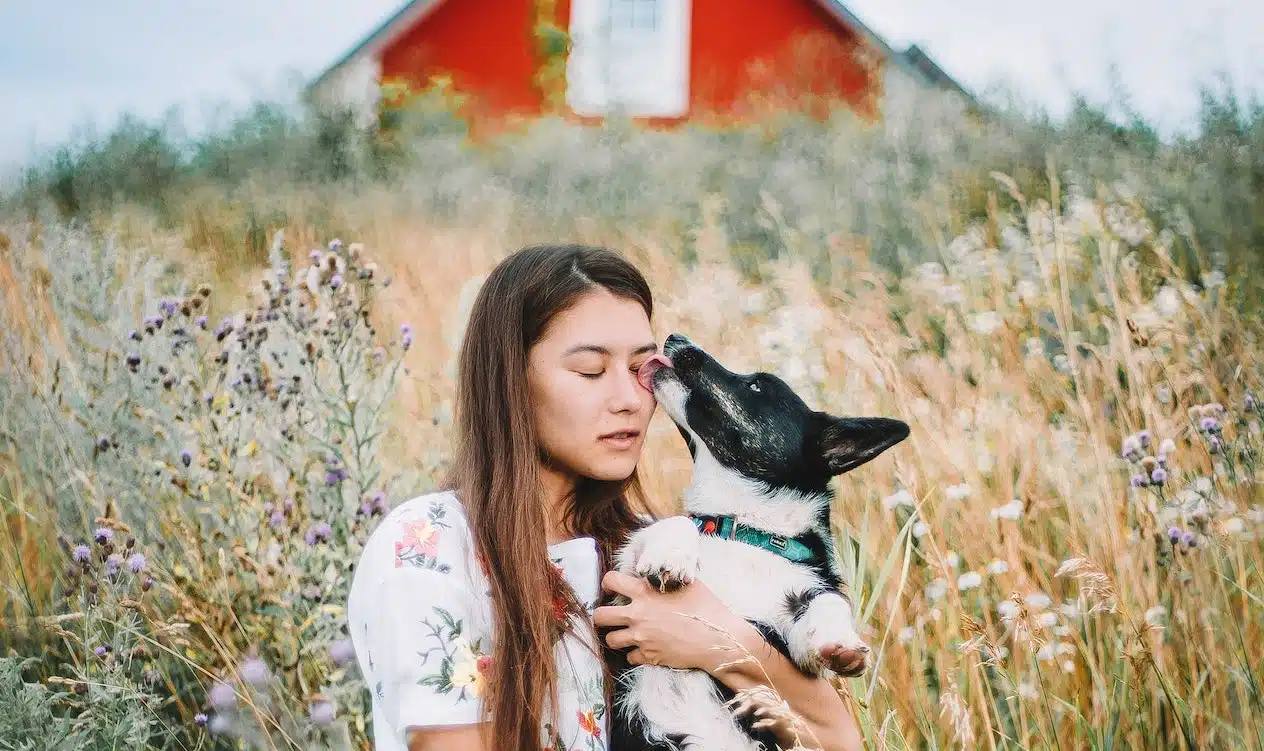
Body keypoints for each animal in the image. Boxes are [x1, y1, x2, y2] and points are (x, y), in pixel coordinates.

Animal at [609, 333, 910, 748]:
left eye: (756, 386)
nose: (675, 338)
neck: (744, 530)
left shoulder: (794, 620)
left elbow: (828, 601)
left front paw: (841, 645)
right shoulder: (620, 594)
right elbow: (676, 523)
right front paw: (670, 556)